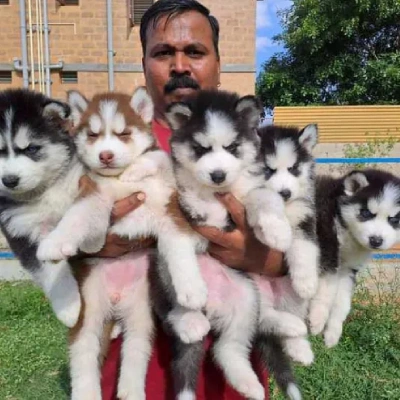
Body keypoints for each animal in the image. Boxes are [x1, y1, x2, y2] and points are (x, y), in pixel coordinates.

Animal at [0, 88, 83, 328]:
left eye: (31, 149)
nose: (9, 180)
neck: (45, 191)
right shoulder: (22, 231)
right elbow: (49, 268)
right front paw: (70, 309)